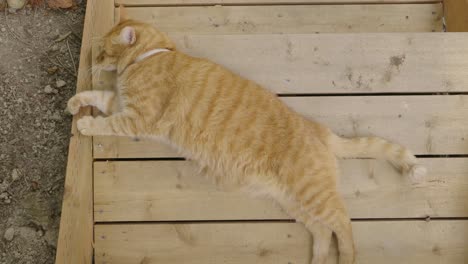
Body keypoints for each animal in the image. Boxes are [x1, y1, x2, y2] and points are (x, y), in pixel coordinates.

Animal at [67, 6, 426, 264]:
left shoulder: (137, 117)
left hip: (313, 194)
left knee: (343, 222)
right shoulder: (121, 104)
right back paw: (318, 259)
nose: (94, 60)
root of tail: (319, 129)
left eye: (103, 52)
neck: (151, 56)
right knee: (323, 231)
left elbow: (107, 123)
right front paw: (76, 102)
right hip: (295, 202)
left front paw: (86, 126)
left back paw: (347, 258)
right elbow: (96, 97)